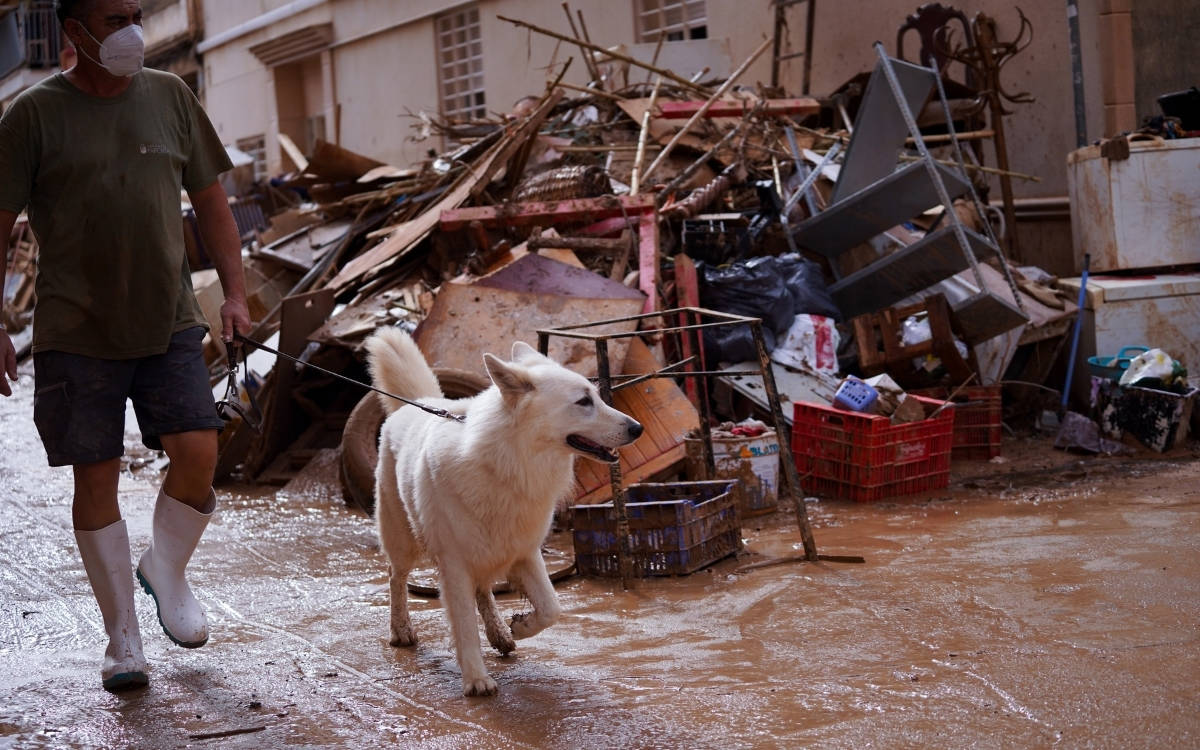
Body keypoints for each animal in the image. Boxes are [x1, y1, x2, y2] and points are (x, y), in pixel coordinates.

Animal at [364, 328, 643, 696]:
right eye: (583, 402)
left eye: (596, 396)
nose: (638, 428)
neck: (510, 463)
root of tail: (420, 403)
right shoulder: (454, 565)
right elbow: (465, 625)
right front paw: (476, 680)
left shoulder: (525, 552)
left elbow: (552, 608)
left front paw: (520, 627)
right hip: (402, 538)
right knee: (396, 578)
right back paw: (401, 630)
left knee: (483, 590)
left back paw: (499, 635)